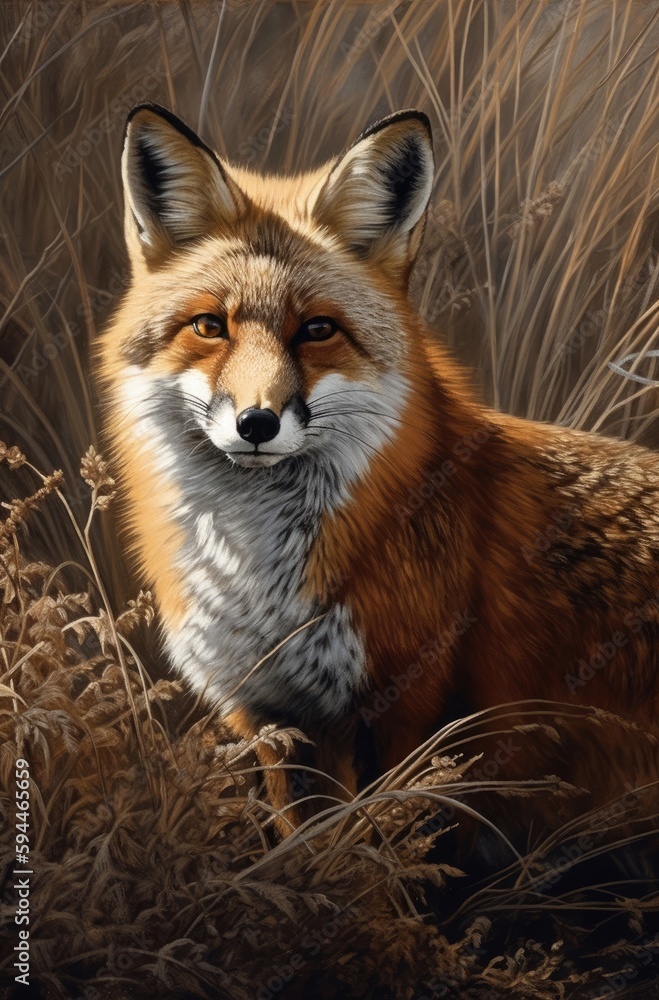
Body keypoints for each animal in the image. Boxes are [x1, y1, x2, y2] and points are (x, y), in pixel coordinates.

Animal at [101, 102, 659, 836]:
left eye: (316, 329)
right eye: (209, 327)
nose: (256, 423)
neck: (261, 589)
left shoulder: (413, 716)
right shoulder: (273, 717)